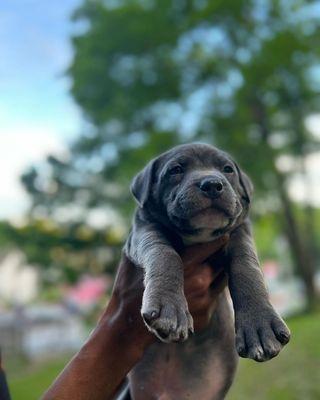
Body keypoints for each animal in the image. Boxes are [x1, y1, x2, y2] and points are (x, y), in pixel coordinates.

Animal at [123, 144, 290, 400]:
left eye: (228, 169)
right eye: (176, 170)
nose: (212, 184)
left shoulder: (240, 231)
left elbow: (246, 265)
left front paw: (260, 323)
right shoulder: (142, 230)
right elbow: (163, 252)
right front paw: (169, 307)